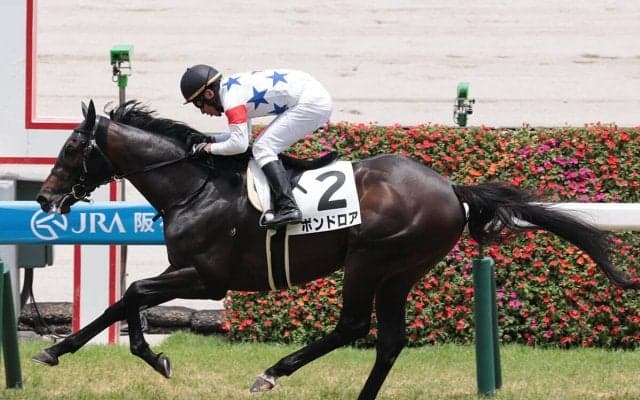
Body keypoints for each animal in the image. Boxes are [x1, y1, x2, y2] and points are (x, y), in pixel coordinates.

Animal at [33, 100, 639, 400]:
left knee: (353, 326)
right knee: (389, 339)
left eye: (71, 146)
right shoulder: (186, 270)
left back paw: (272, 373)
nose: (43, 197)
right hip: (403, 270)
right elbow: (126, 299)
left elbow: (133, 292)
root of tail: (451, 188)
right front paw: (73, 351)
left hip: (370, 259)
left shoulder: (208, 277)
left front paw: (126, 354)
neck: (195, 185)